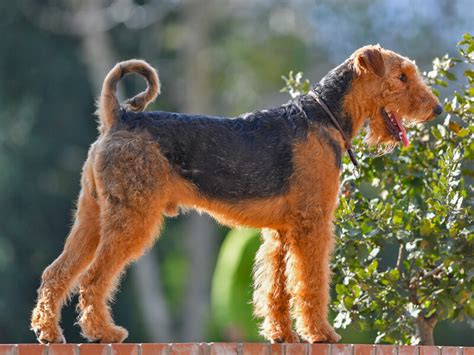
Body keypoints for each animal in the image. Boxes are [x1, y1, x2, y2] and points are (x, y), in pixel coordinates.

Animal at [31, 44, 442, 344]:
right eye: (401, 76)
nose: (436, 109)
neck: (324, 117)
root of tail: (119, 118)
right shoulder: (312, 224)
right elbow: (310, 282)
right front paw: (320, 334)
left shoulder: (282, 231)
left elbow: (277, 288)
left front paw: (282, 335)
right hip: (132, 219)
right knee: (92, 278)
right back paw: (103, 332)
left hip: (92, 217)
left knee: (56, 273)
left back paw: (48, 332)